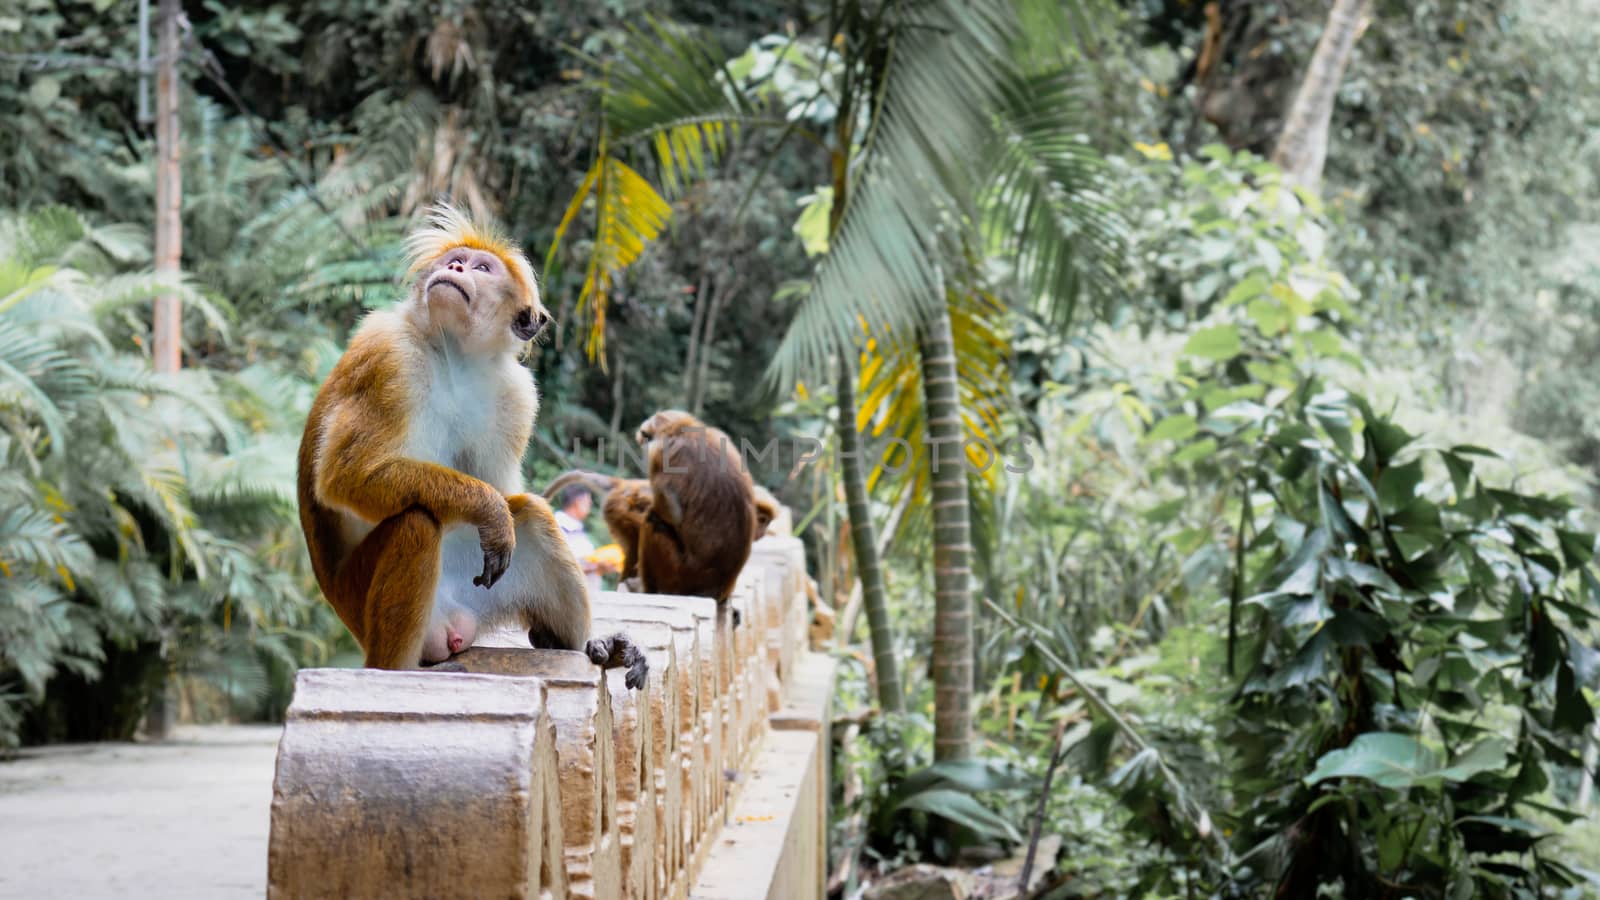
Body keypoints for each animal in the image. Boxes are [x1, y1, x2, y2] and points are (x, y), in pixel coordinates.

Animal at [297, 199, 646, 682]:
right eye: (455, 260)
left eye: (482, 267)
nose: (458, 267)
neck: (453, 355)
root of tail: (451, 626)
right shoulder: (385, 355)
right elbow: (344, 476)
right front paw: (488, 508)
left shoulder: (517, 395)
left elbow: (506, 491)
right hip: (360, 598)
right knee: (417, 523)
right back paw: (396, 671)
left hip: (476, 589)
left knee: (532, 516)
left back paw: (583, 645)